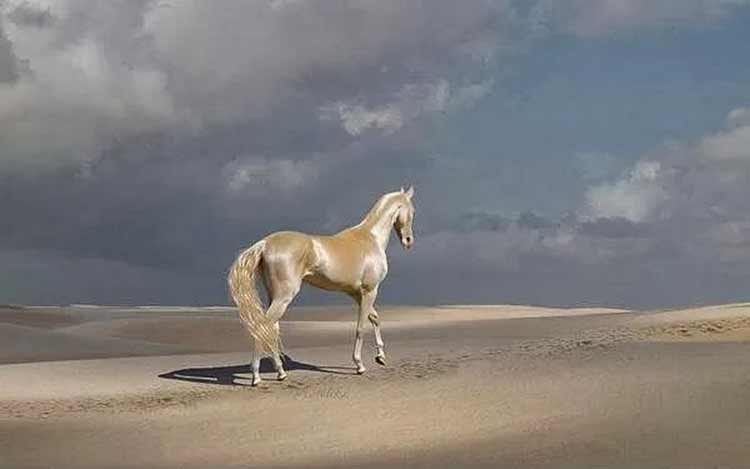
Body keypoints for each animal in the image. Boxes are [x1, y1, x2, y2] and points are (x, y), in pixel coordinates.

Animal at [229, 186, 418, 384]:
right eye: (412, 211)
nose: (408, 240)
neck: (370, 238)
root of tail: (265, 243)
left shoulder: (357, 294)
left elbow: (375, 319)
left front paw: (380, 357)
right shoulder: (370, 291)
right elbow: (361, 327)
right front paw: (359, 365)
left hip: (274, 296)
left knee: (271, 329)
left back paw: (281, 372)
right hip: (283, 297)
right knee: (263, 326)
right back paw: (256, 377)